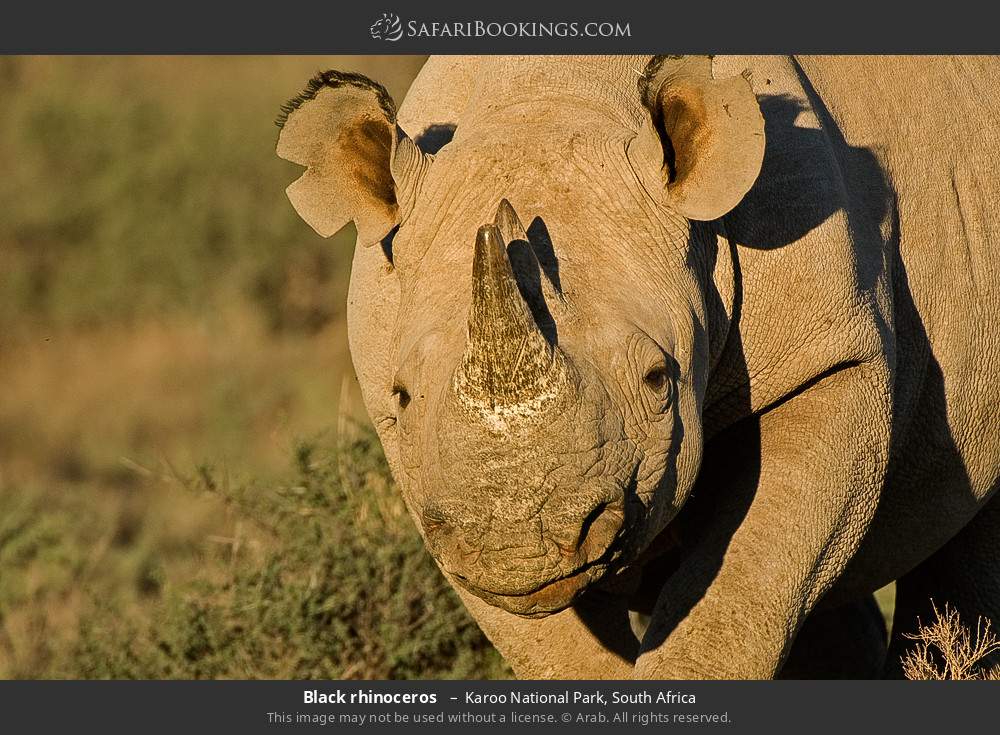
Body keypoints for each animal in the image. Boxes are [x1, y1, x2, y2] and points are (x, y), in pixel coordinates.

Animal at [275, 55, 1000, 679]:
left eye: (657, 379)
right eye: (401, 396)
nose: (520, 547)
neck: (547, 101)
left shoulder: (827, 357)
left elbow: (741, 594)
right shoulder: (435, 486)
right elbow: (553, 649)